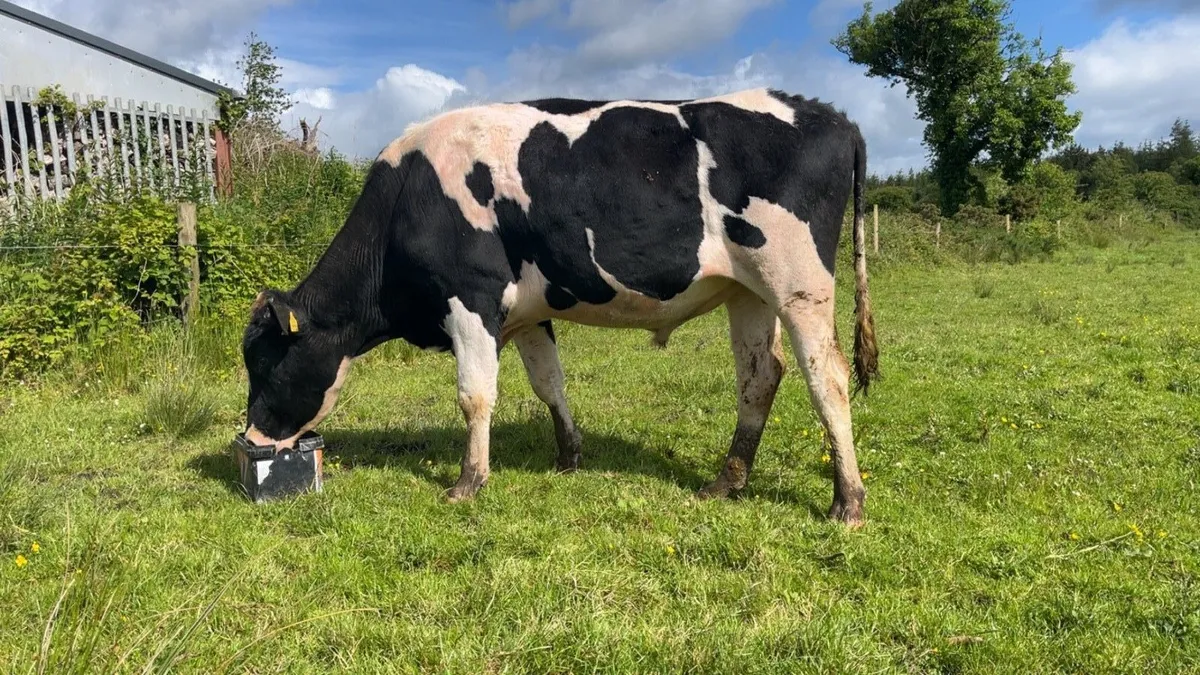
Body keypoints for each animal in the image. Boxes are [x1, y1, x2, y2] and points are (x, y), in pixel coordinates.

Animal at [240, 88, 880, 525]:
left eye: (266, 363)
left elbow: (475, 395)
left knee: (827, 377)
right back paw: (727, 481)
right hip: (748, 292)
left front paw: (468, 482)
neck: (408, 198)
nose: (251, 437)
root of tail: (832, 115)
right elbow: (549, 383)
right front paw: (569, 456)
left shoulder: (470, 298)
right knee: (759, 376)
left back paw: (847, 501)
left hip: (799, 284)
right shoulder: (526, 312)